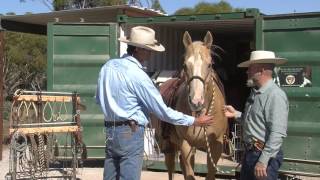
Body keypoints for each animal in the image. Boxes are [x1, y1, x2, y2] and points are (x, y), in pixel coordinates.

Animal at [156, 31, 228, 180]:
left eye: (209, 65)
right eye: (185, 65)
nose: (196, 101)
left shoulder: (215, 146)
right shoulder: (186, 144)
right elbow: (190, 174)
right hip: (168, 145)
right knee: (171, 169)